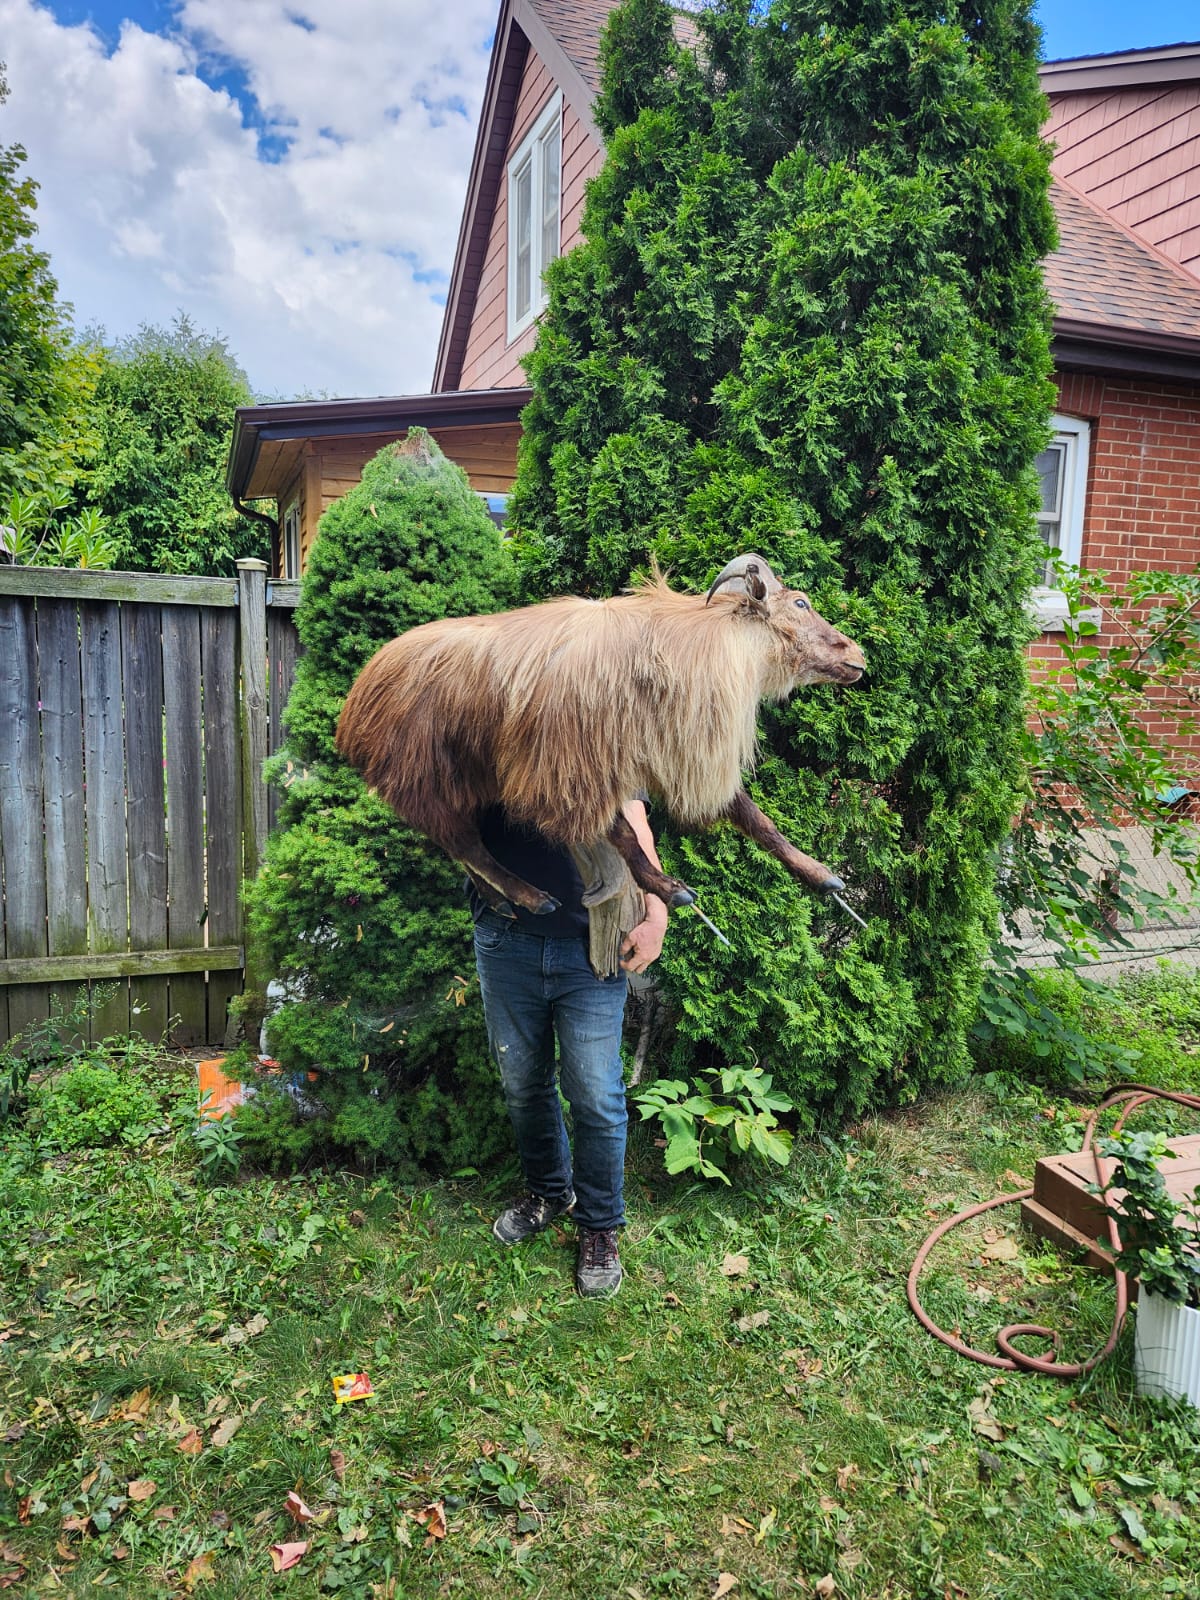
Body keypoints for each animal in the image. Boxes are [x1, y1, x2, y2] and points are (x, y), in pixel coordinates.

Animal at [334, 554, 867, 918]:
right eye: (800, 602)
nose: (857, 656)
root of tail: (352, 713)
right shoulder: (571, 772)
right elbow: (623, 835)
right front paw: (670, 888)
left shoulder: (662, 757)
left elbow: (757, 820)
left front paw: (822, 877)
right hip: (423, 779)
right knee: (466, 847)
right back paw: (532, 898)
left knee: (460, 851)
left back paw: (500, 899)